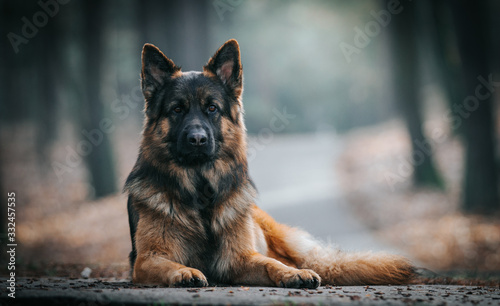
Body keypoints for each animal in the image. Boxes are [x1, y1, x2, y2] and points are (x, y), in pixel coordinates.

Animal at [126, 38, 414, 286]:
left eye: (212, 108)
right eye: (177, 109)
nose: (197, 139)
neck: (201, 191)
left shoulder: (240, 258)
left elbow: (271, 264)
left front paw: (293, 275)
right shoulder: (148, 259)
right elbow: (169, 264)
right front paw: (184, 271)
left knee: (306, 261)